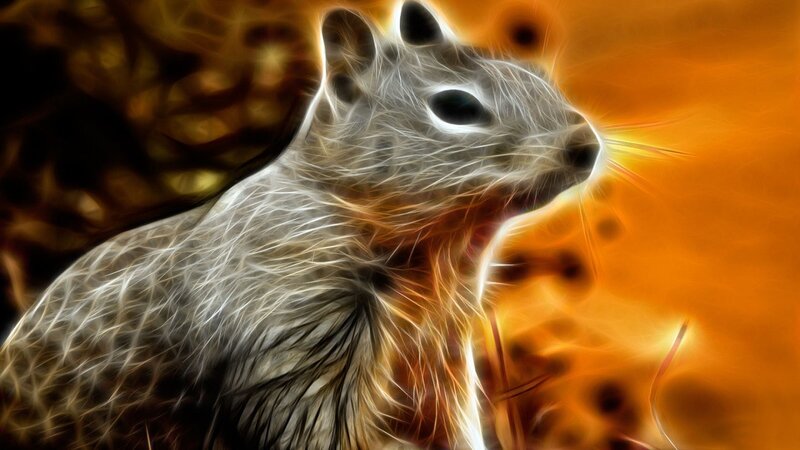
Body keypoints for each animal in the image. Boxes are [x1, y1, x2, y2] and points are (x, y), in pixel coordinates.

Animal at [0, 1, 601, 449]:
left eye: (534, 75)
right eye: (456, 107)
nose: (585, 146)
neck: (440, 253)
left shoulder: (440, 357)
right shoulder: (292, 333)